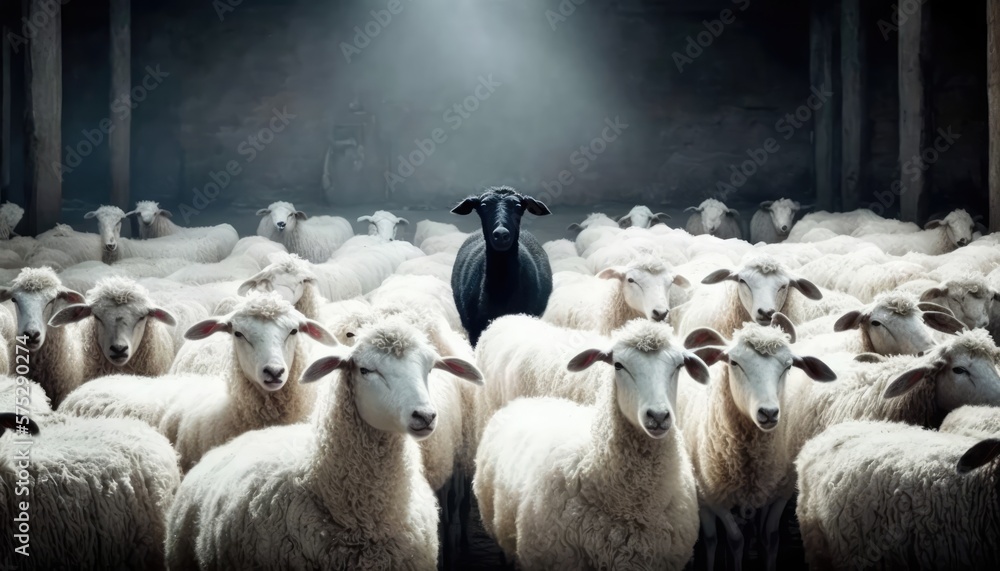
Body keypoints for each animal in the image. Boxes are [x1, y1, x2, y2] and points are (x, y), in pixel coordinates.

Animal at [678, 320, 837, 571]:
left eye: (789, 366)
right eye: (734, 362)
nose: (769, 413)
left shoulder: (781, 491)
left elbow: (770, 536)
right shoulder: (712, 497)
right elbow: (734, 539)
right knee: (712, 538)